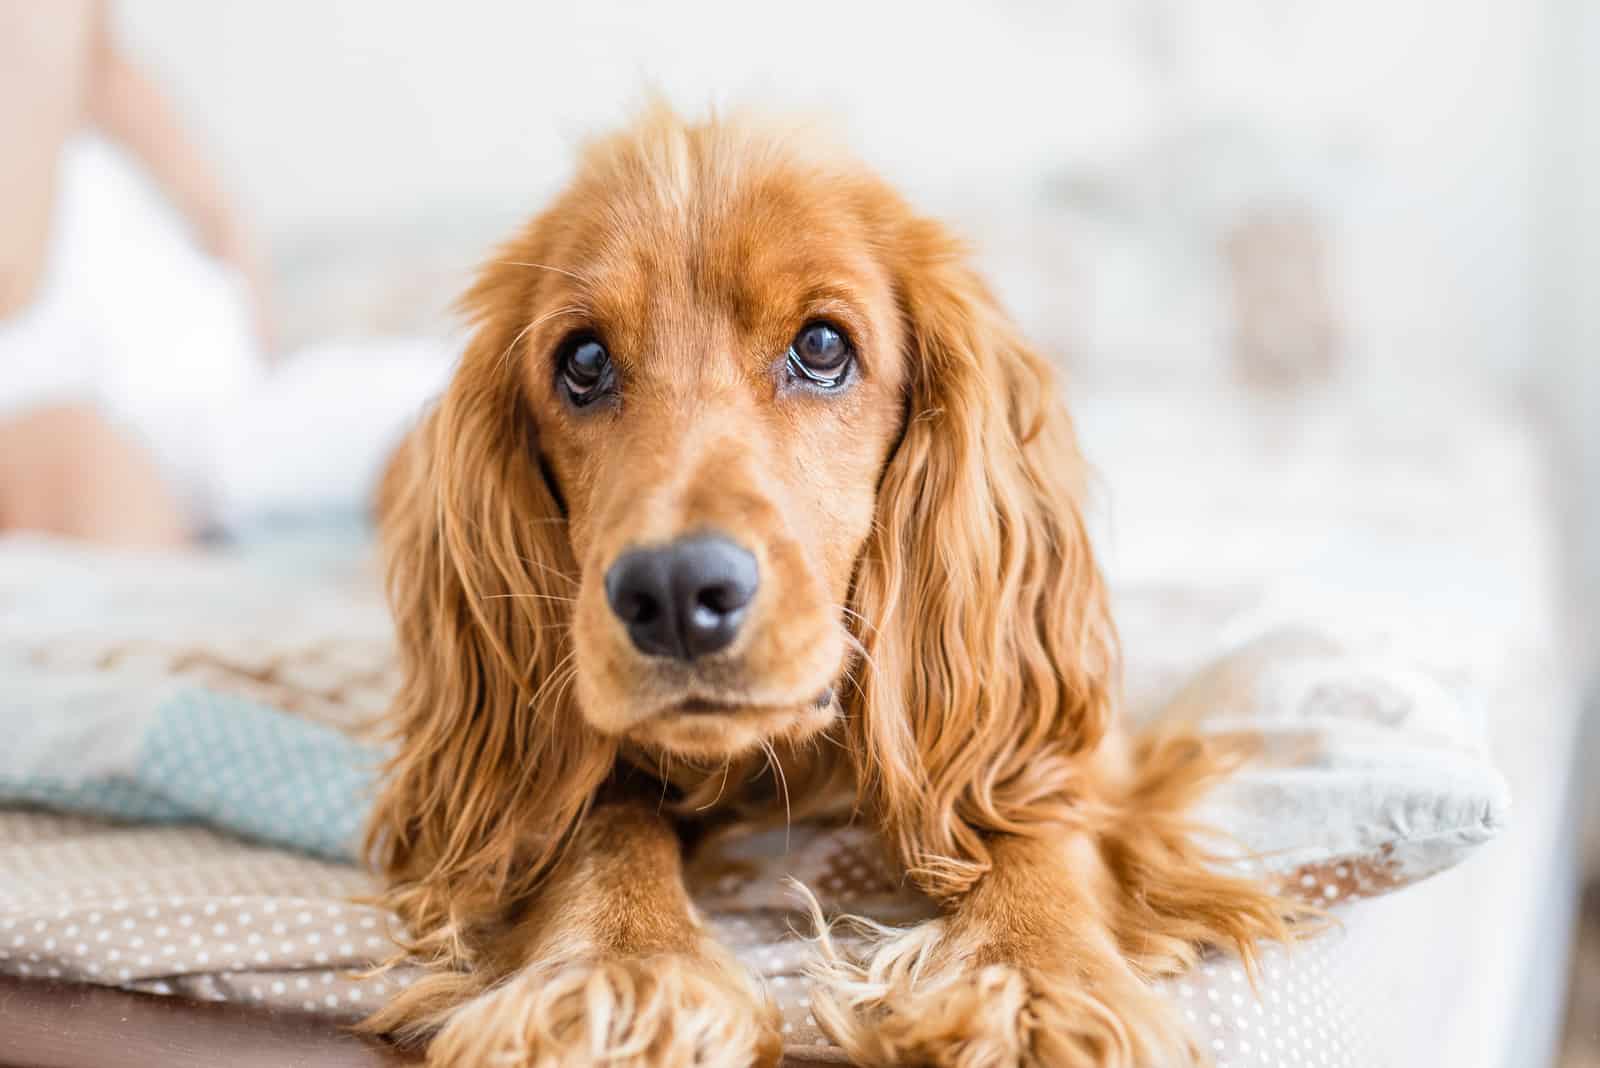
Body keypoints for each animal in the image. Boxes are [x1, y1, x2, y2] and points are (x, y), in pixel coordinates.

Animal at [366, 102, 1299, 1068]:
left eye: (821, 347)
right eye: (583, 362)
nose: (673, 593)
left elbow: (1034, 813)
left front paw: (1032, 978)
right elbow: (601, 819)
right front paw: (622, 969)